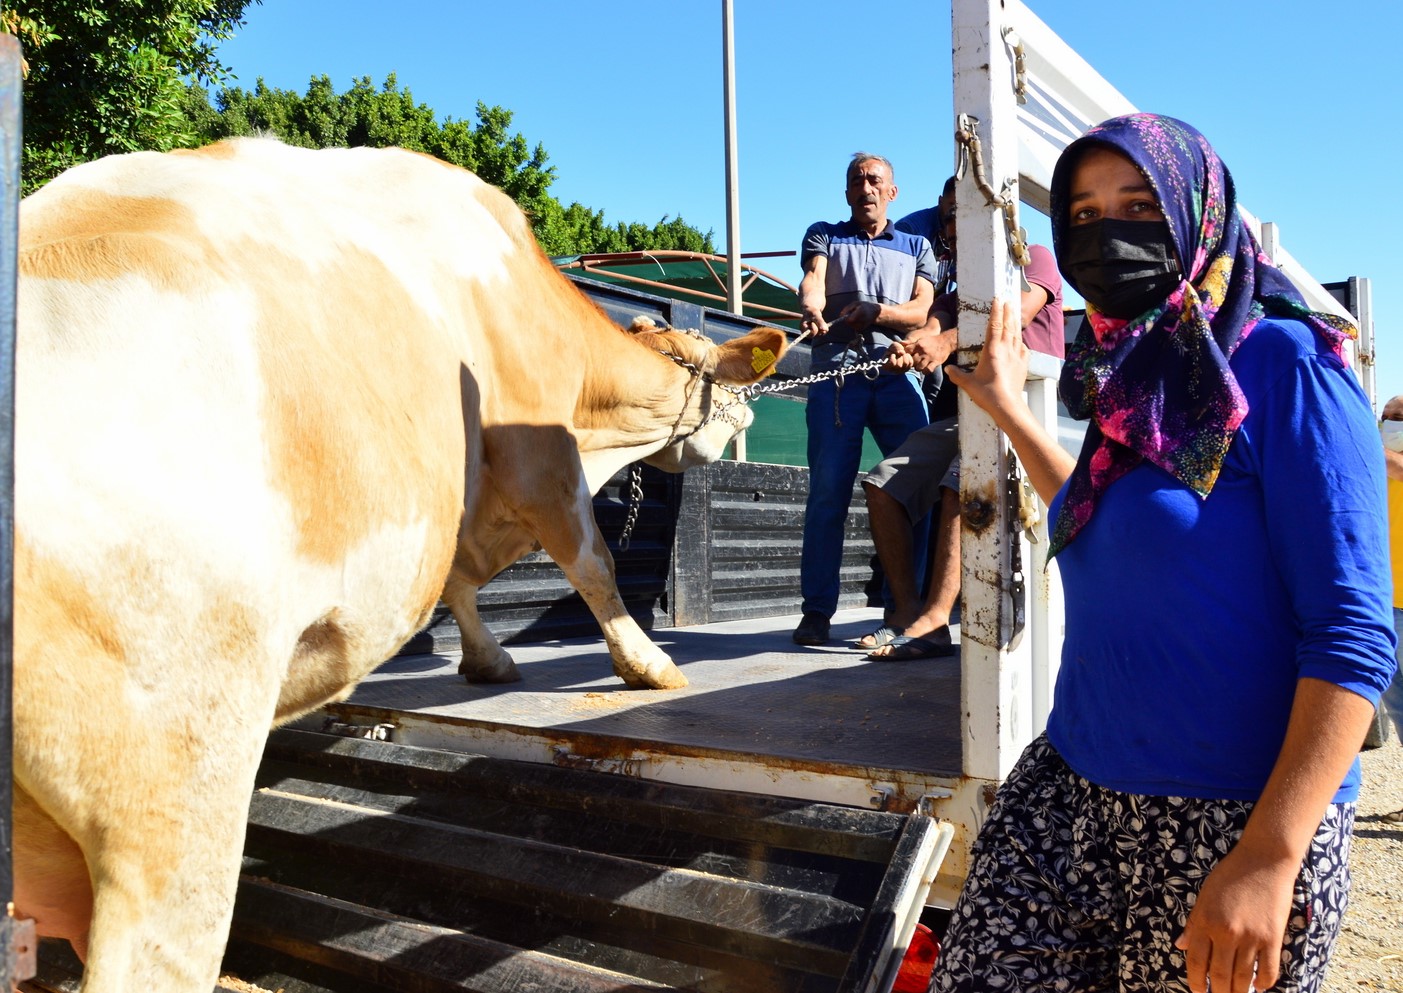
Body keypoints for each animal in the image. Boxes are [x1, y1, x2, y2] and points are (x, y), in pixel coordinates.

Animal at [16, 139, 791, 993]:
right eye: (704, 372)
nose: (748, 418)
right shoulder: (539, 451)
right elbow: (590, 560)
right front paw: (646, 664)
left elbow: (458, 579)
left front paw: (486, 660)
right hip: (172, 776)